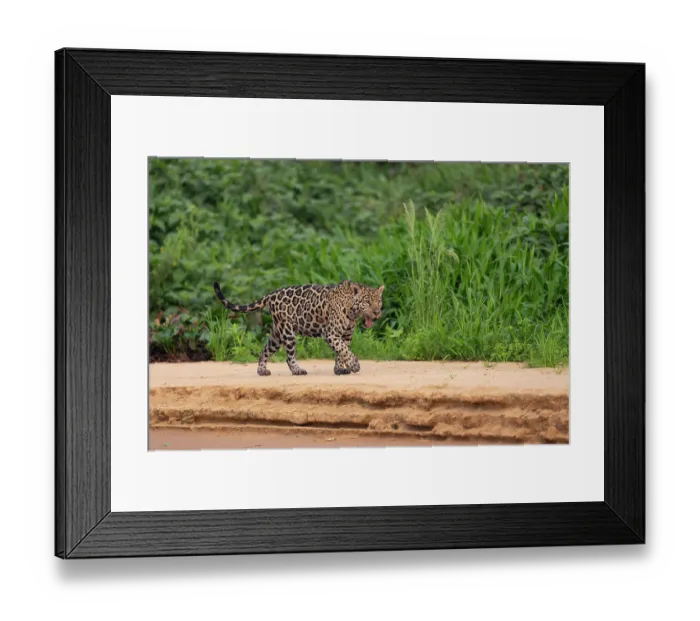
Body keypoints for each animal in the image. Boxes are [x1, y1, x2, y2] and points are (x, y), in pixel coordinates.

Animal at [213, 280, 384, 376]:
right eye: (367, 302)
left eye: (379, 301)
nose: (377, 312)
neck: (352, 312)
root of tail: (271, 294)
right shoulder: (331, 333)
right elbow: (344, 350)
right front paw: (354, 365)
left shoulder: (346, 335)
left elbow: (341, 352)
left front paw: (339, 369)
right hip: (287, 332)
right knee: (289, 357)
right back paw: (297, 371)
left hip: (277, 334)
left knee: (264, 350)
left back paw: (262, 371)